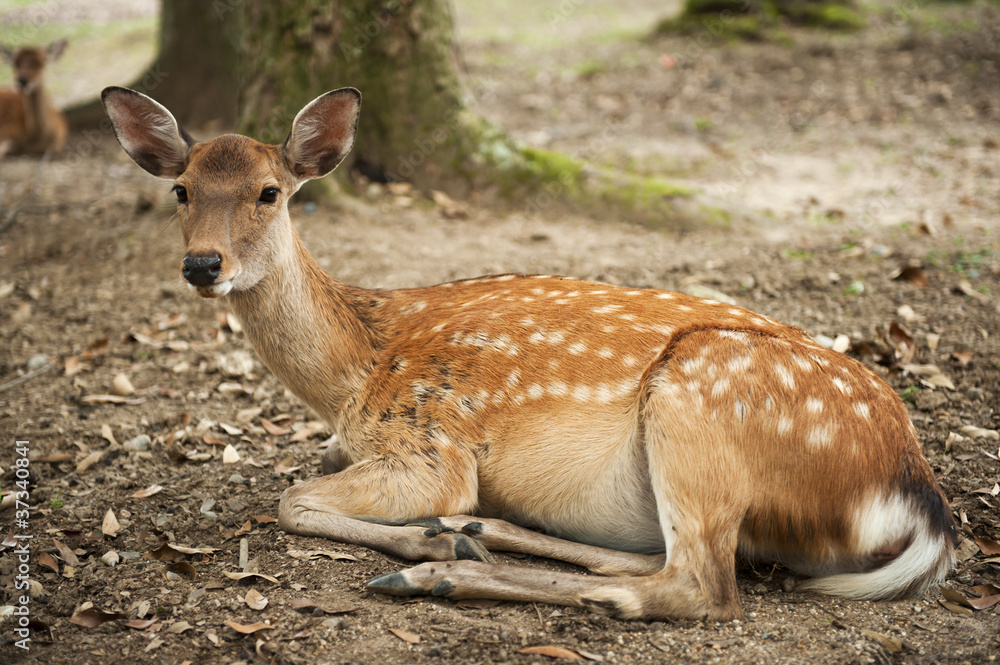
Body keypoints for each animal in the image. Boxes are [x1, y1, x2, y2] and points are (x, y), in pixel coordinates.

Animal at [103, 85, 960, 620]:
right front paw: (440, 528)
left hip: (701, 397)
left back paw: (439, 567)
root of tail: (918, 496)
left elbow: (293, 500)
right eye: (181, 189)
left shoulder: (432, 446)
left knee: (702, 586)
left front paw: (421, 534)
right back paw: (474, 536)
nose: (203, 264)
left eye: (270, 191)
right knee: (669, 560)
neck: (355, 371)